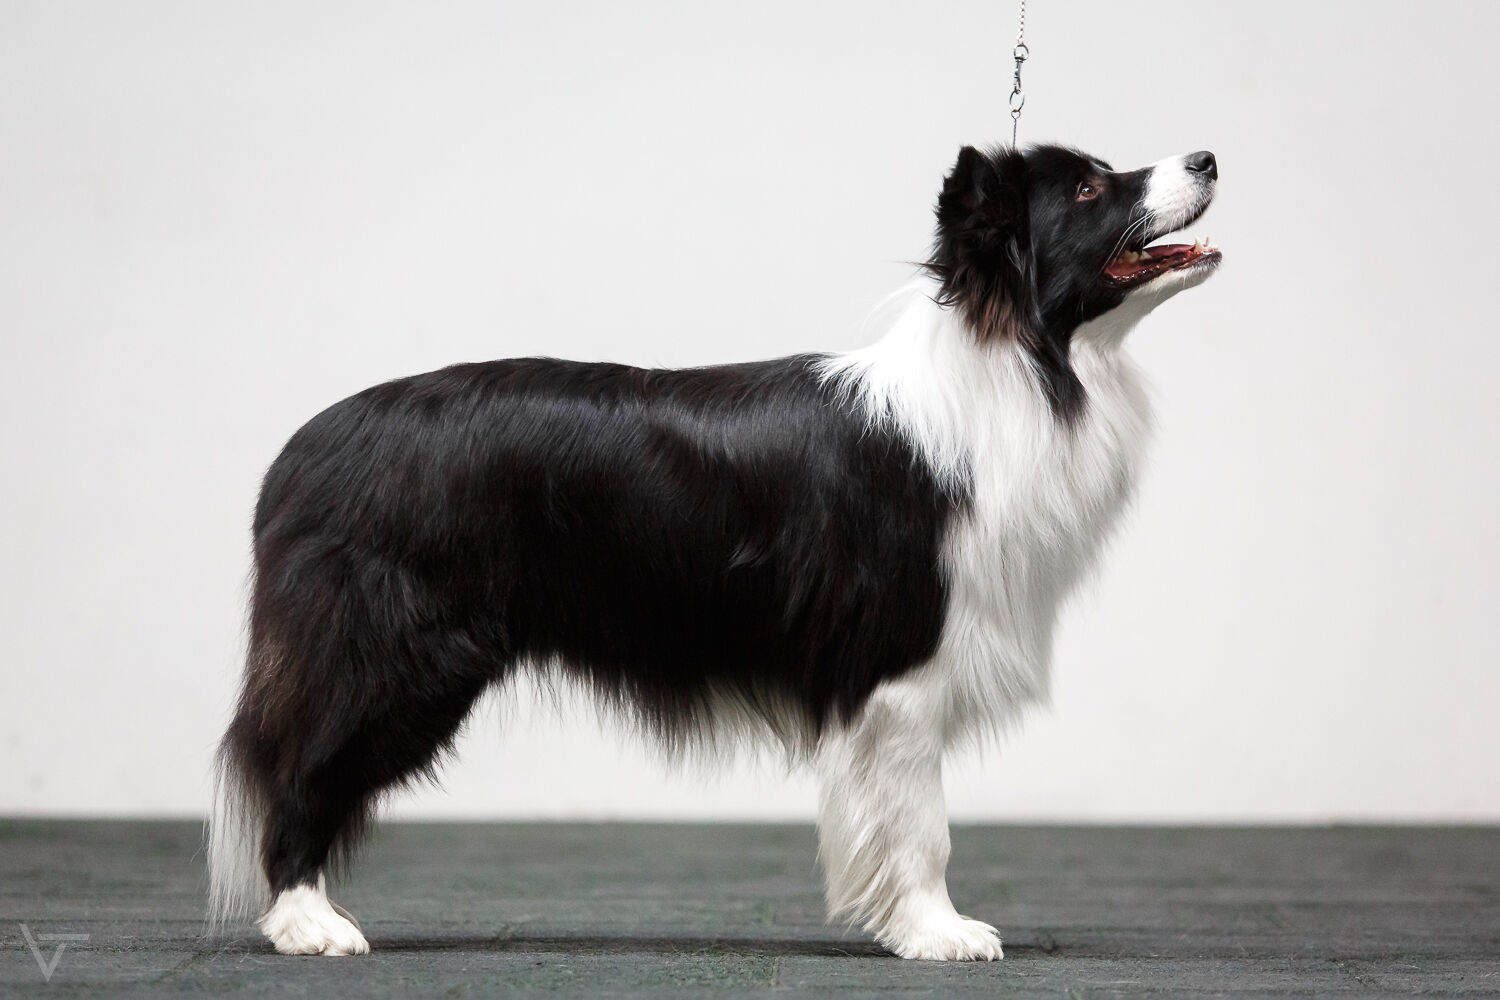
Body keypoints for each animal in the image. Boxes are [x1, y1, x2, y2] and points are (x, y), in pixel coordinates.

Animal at [209, 143, 1220, 959]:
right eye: (1089, 187)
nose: (1209, 156)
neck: (1026, 365)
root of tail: (300, 452)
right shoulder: (900, 667)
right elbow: (922, 821)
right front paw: (939, 934)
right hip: (395, 653)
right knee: (302, 772)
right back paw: (308, 924)